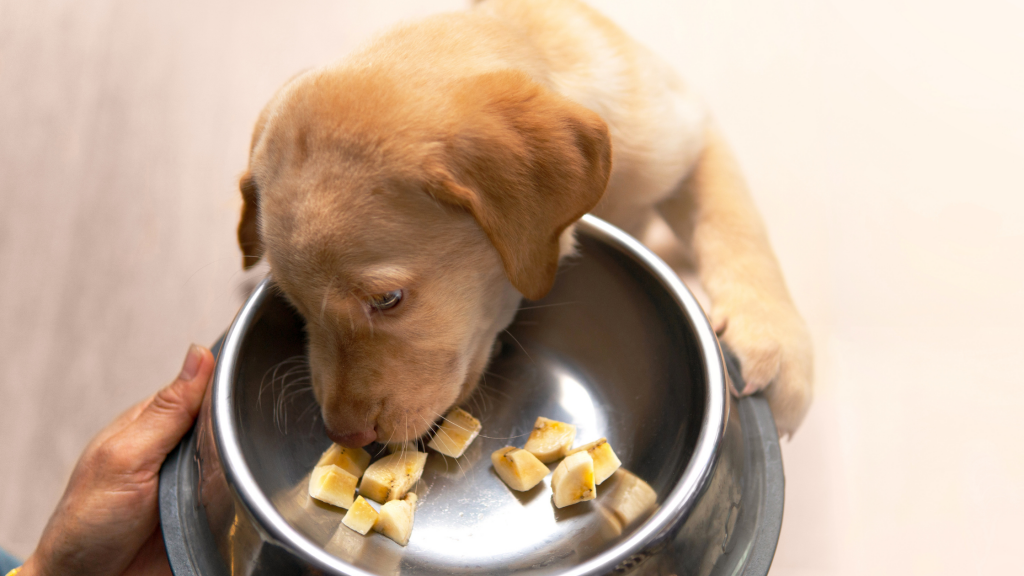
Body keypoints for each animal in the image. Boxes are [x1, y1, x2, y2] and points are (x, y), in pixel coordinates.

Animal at [235, 0, 811, 444]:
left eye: (387, 300)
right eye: (293, 304)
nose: (346, 436)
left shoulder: (687, 131)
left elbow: (733, 220)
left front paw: (773, 343)